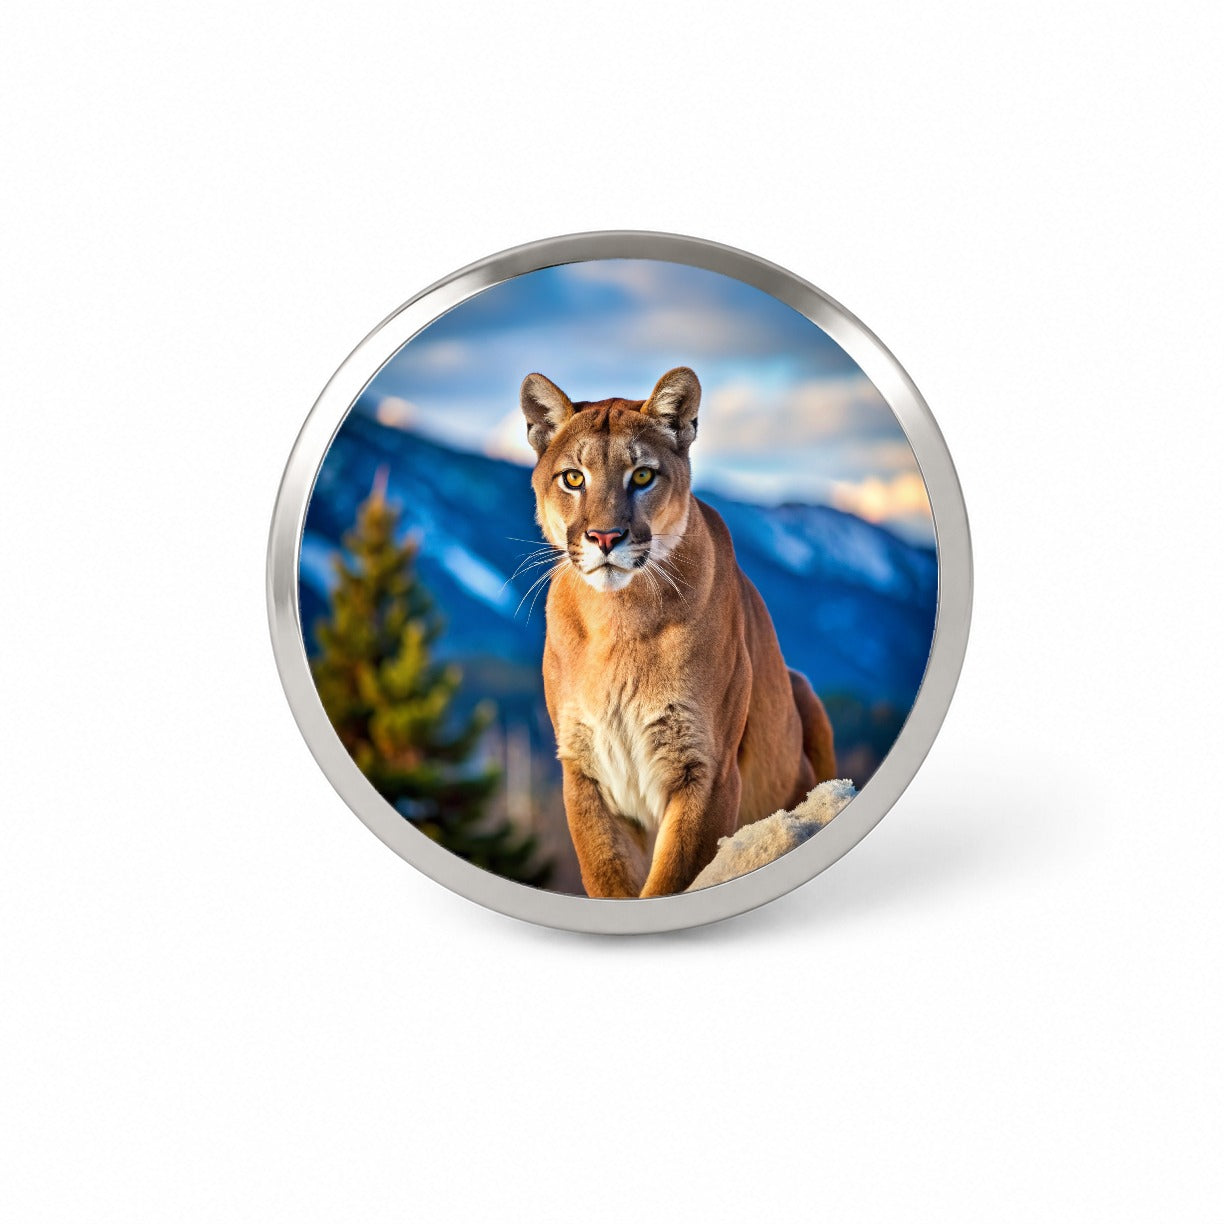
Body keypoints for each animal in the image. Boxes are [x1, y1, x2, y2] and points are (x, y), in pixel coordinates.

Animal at [520, 366, 836, 898]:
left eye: (643, 475)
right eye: (573, 478)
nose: (605, 537)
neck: (617, 620)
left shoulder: (705, 769)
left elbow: (670, 880)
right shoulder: (583, 770)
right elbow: (606, 874)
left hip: (807, 700)